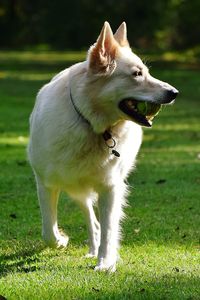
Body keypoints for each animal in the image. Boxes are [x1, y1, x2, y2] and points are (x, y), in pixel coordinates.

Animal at [27, 21, 178, 272]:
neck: (90, 125)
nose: (174, 93)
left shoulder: (110, 187)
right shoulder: (45, 183)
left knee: (97, 223)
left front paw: (105, 262)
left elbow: (108, 229)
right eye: (137, 74)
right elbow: (48, 231)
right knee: (89, 218)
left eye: (146, 72)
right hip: (75, 189)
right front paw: (61, 240)